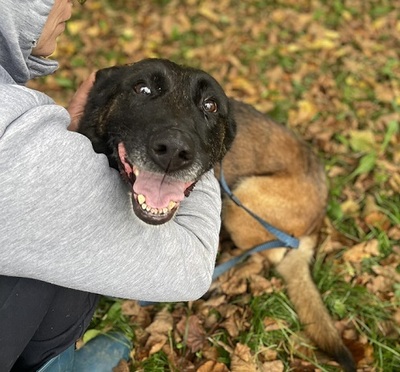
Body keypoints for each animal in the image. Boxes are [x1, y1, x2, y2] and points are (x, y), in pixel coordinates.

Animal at [78, 58, 356, 372]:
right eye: (143, 89)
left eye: (210, 105)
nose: (173, 151)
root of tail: (318, 218)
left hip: (241, 200)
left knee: (268, 255)